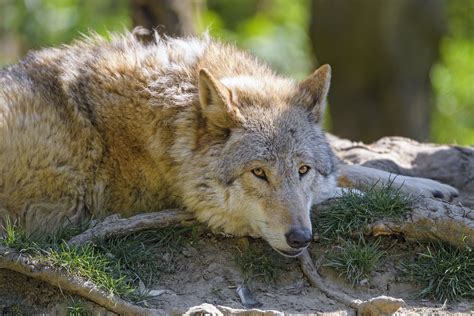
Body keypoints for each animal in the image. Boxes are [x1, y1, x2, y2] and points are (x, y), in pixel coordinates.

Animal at [0, 29, 460, 256]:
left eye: (303, 169)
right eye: (258, 173)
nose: (301, 239)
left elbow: (353, 167)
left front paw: (428, 186)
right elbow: (341, 190)